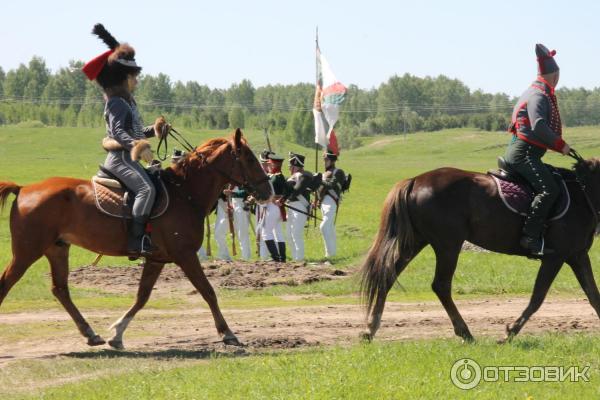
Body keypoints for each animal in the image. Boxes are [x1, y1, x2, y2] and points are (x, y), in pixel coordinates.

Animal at [0, 128, 272, 346]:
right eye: (249, 158)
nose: (268, 191)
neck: (185, 193)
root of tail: (23, 189)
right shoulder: (185, 256)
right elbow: (207, 291)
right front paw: (227, 333)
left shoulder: (156, 259)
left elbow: (142, 296)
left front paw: (117, 334)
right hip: (27, 252)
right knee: (7, 283)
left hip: (57, 249)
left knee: (60, 290)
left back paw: (90, 333)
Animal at [360, 159, 600, 344]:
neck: (584, 193)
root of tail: (415, 180)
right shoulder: (555, 257)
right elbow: (537, 298)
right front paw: (508, 334)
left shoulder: (577, 255)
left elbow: (593, 294)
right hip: (448, 245)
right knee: (441, 285)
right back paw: (465, 333)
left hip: (416, 242)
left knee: (387, 275)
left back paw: (370, 329)